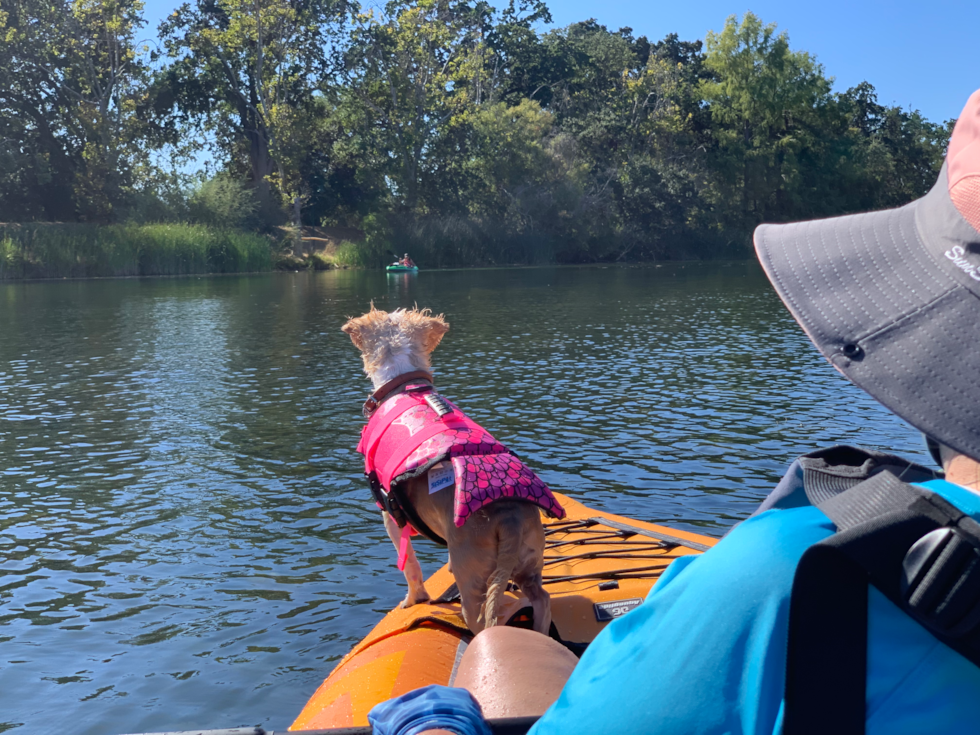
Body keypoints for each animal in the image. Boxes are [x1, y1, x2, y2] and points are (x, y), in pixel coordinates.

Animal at [340, 308, 564, 636]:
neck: (404, 384)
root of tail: (508, 516)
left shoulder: (390, 515)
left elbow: (410, 567)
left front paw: (413, 599)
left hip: (473, 580)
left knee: (481, 620)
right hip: (530, 561)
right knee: (542, 598)